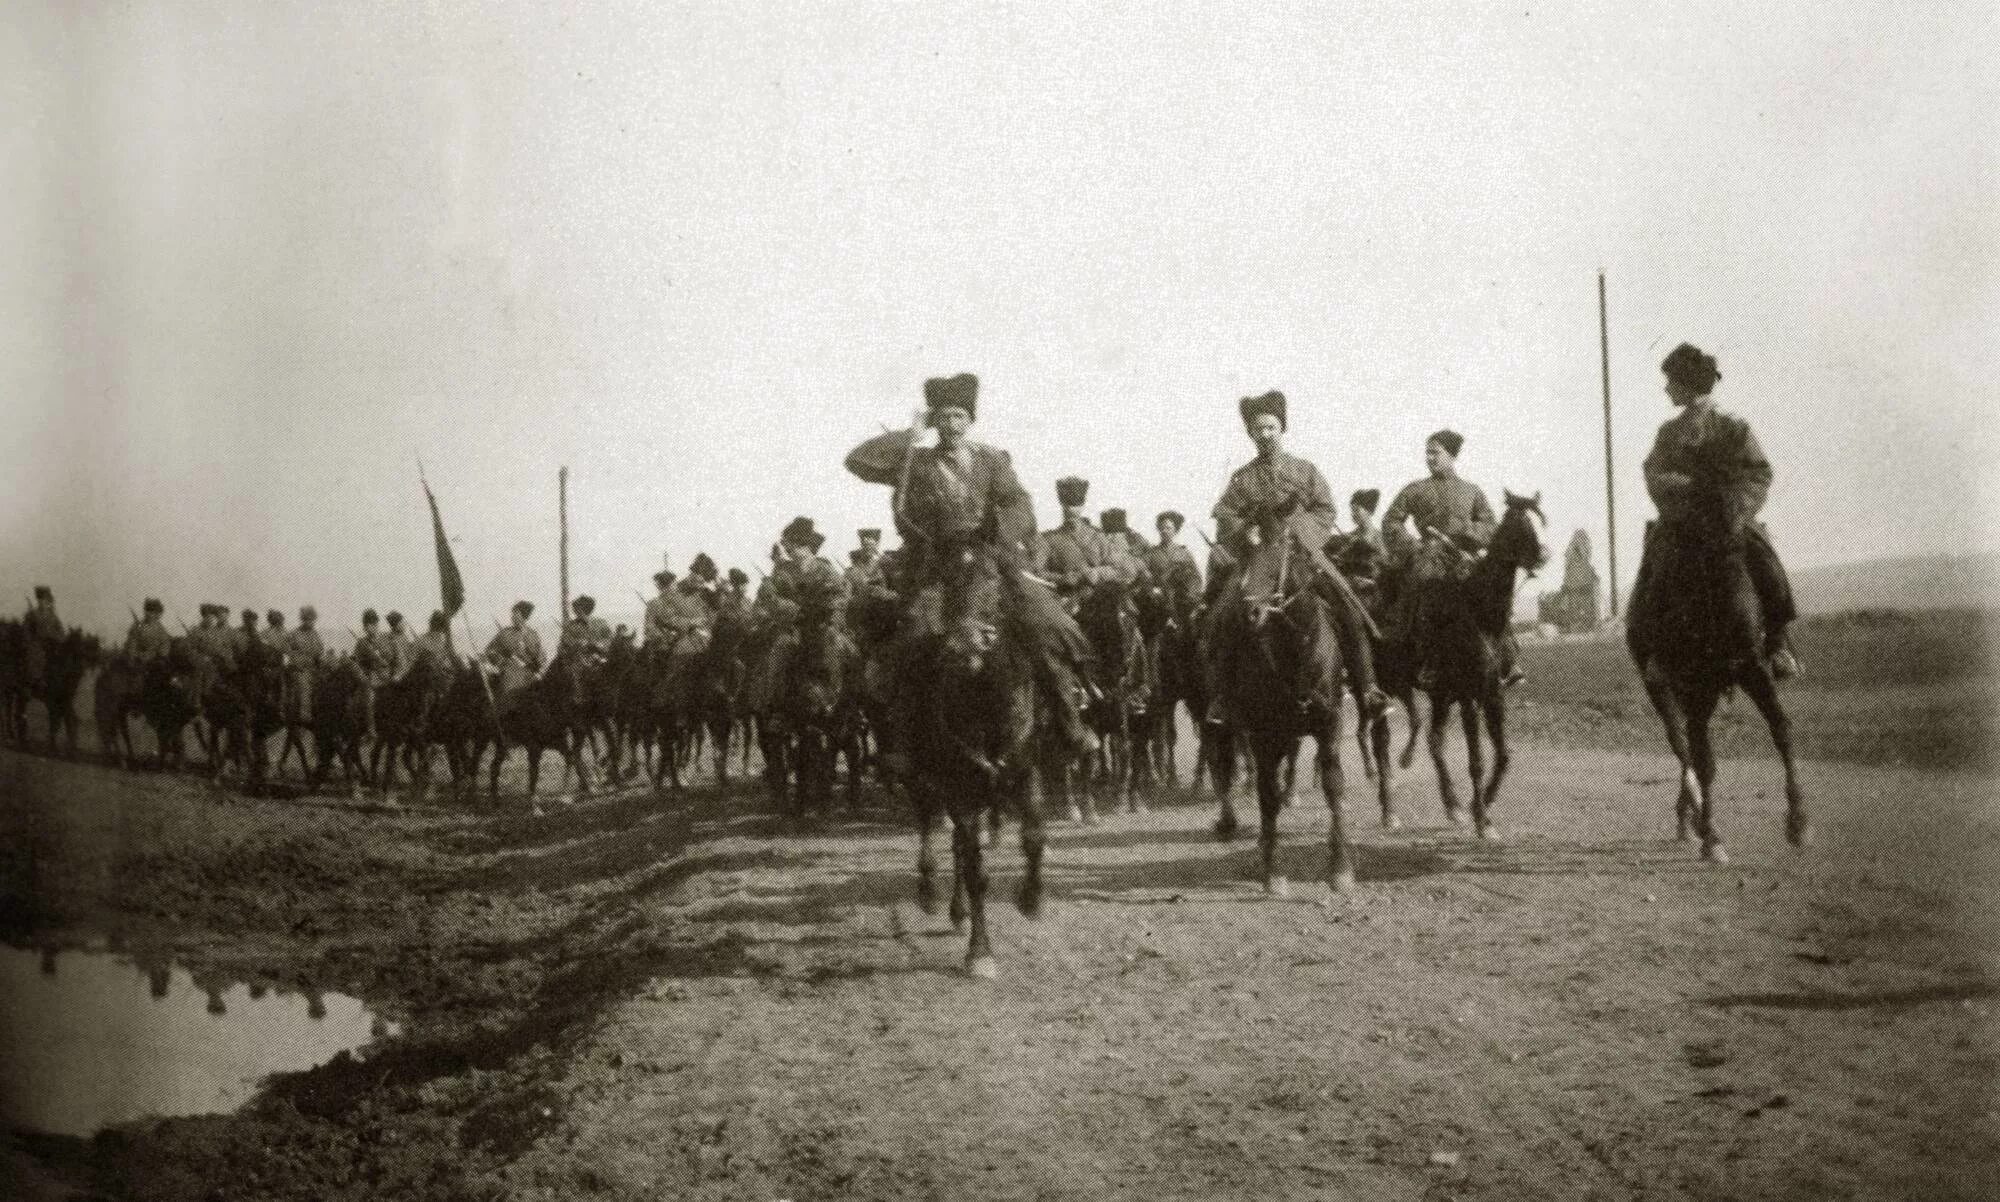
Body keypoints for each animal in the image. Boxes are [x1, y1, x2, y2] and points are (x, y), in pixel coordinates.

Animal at [908, 544, 1056, 976]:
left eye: (994, 576)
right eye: (946, 578)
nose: (965, 643)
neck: (986, 703)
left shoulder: (1027, 771)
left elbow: (1034, 837)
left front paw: (1031, 899)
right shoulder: (961, 791)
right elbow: (976, 870)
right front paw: (980, 952)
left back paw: (957, 912)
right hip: (925, 779)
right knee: (930, 825)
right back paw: (931, 892)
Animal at [1200, 536, 1360, 900]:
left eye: (1277, 571)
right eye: (1245, 569)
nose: (1249, 613)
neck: (1295, 656)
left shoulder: (1330, 724)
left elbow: (1334, 787)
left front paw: (1341, 870)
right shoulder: (1263, 735)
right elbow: (1268, 796)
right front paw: (1273, 875)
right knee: (1224, 766)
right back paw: (1234, 824)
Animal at [1408, 492, 1544, 840]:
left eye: (1539, 521)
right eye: (1517, 523)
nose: (1542, 556)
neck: (1482, 615)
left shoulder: (1495, 695)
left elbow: (1504, 755)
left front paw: (1481, 806)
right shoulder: (1469, 698)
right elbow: (1476, 761)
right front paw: (1482, 820)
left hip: (1441, 697)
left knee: (1435, 741)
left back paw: (1454, 805)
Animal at [1624, 500, 1816, 864]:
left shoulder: (1752, 669)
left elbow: (1781, 728)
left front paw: (1799, 822)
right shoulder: (1697, 686)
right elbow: (1704, 759)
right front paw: (1712, 839)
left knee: (1689, 745)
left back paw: (1690, 816)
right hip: (1664, 688)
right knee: (1681, 742)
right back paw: (1693, 815)